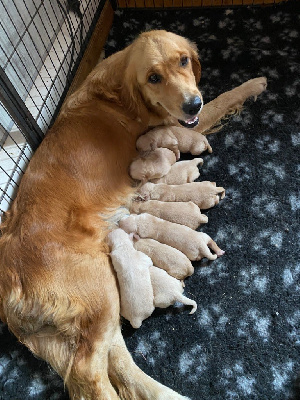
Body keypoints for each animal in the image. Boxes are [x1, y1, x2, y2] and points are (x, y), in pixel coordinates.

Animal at [0, 29, 268, 398]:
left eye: (184, 61)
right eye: (153, 78)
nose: (192, 104)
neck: (122, 95)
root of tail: (10, 282)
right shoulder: (180, 123)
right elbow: (224, 97)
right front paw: (255, 83)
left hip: (74, 319)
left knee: (114, 361)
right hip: (97, 286)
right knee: (90, 369)